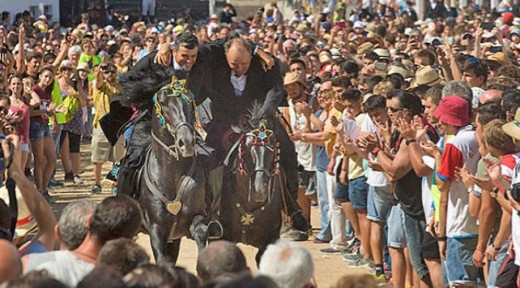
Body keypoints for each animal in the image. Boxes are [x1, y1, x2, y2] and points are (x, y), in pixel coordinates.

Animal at [129, 77, 208, 266]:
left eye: (190, 102)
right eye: (164, 104)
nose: (186, 142)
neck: (172, 174)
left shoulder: (195, 217)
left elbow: (201, 232)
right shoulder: (157, 229)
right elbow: (162, 261)